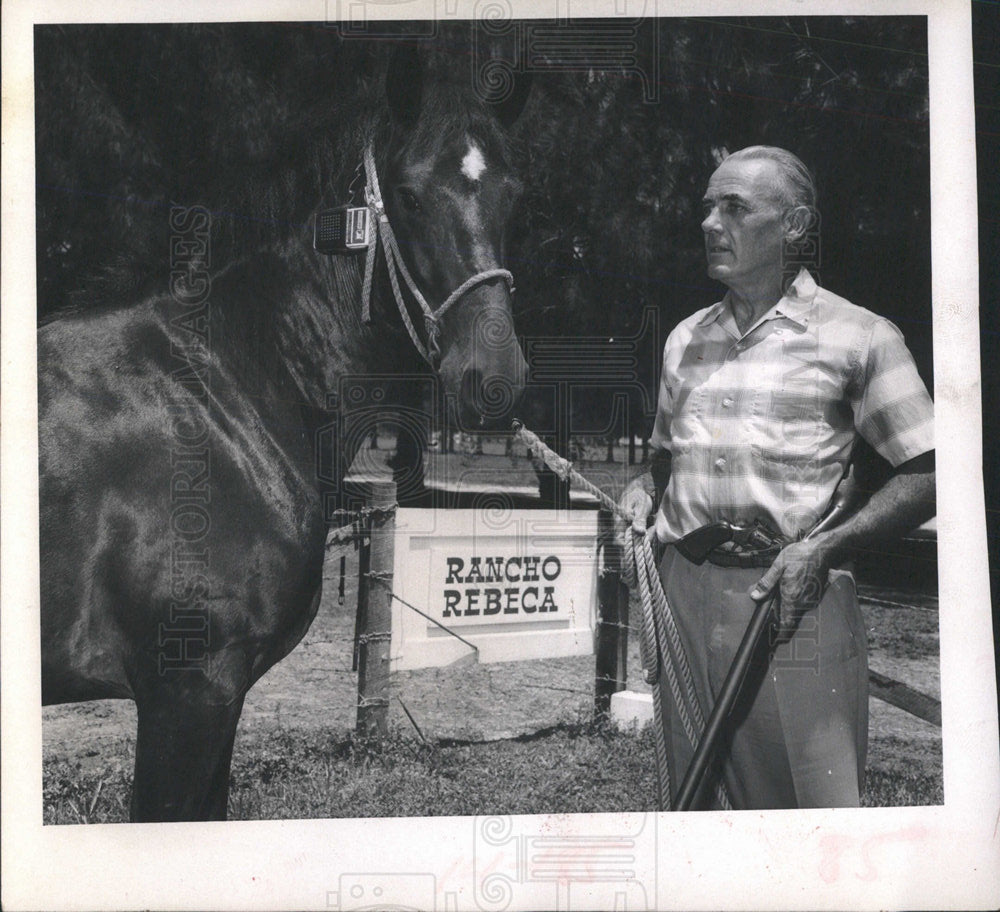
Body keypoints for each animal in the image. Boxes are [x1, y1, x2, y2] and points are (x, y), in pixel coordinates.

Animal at [37, 46, 532, 824]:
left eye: (514, 196)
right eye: (410, 196)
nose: (494, 379)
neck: (217, 393)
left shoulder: (219, 698)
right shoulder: (189, 694)